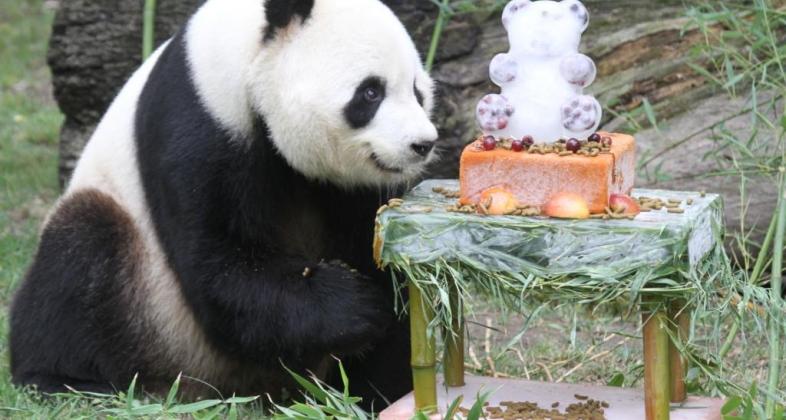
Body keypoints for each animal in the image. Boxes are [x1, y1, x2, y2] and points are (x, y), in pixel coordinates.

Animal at [12, 0, 438, 408]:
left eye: (418, 92)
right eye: (371, 92)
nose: (423, 144)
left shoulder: (350, 187)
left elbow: (380, 259)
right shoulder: (199, 118)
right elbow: (219, 268)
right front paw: (354, 304)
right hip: (147, 296)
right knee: (79, 254)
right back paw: (61, 379)